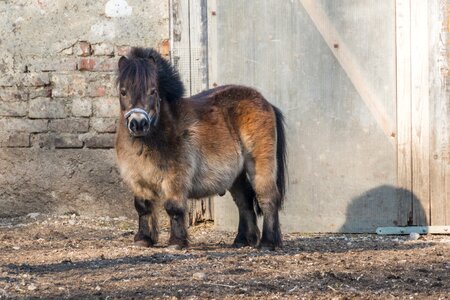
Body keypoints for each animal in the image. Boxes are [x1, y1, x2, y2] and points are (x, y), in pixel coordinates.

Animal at [114, 47, 286, 251]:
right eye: (123, 92)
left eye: (153, 91)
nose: (138, 124)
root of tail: (265, 102)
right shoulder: (138, 180)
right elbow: (142, 207)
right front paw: (144, 239)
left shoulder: (175, 179)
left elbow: (173, 207)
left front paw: (176, 242)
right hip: (236, 175)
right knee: (244, 202)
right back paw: (242, 240)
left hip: (260, 165)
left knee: (267, 198)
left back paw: (268, 242)